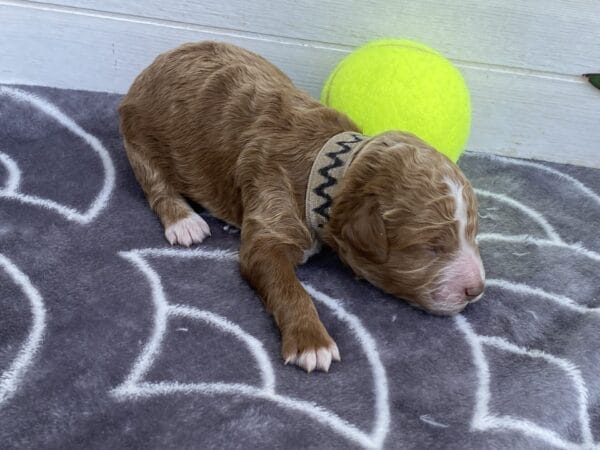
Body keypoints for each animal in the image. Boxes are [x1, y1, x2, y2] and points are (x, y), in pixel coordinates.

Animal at [119, 41, 486, 372]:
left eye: (472, 232)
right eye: (431, 247)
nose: (477, 289)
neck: (327, 169)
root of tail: (152, 66)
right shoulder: (270, 217)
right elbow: (288, 287)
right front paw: (312, 343)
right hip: (138, 137)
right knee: (155, 183)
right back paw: (184, 222)